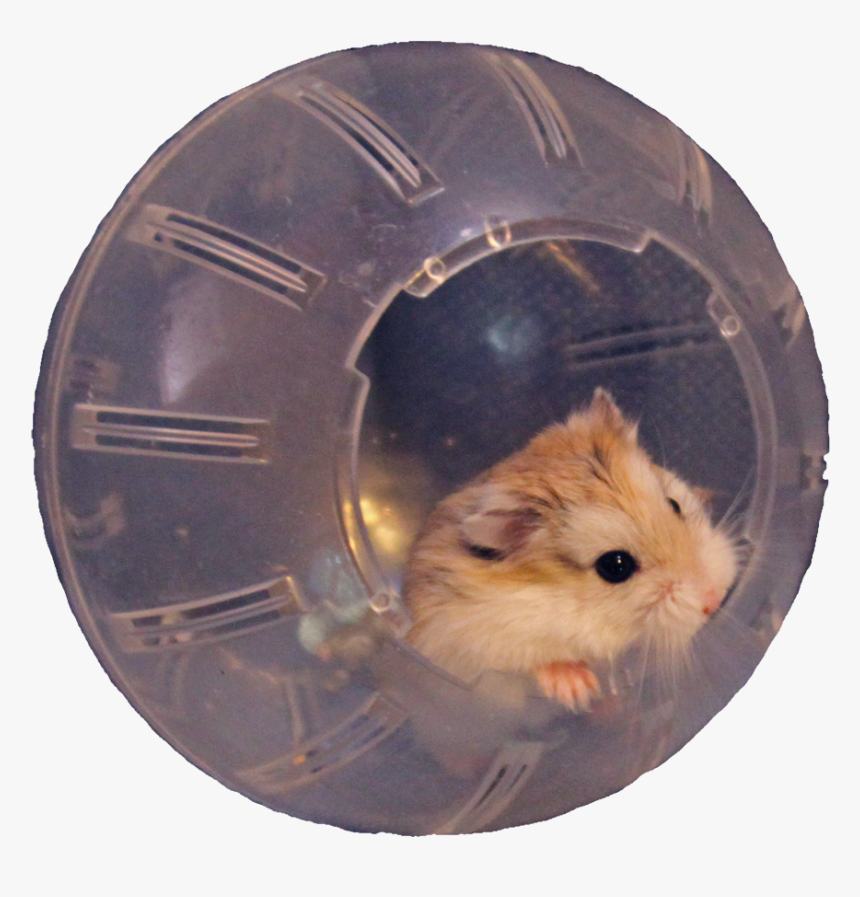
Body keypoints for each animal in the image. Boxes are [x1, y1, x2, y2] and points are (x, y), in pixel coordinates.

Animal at [402, 388, 738, 711]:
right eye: (615, 566)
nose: (716, 599)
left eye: (674, 505)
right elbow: (532, 662)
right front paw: (579, 691)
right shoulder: (473, 641)